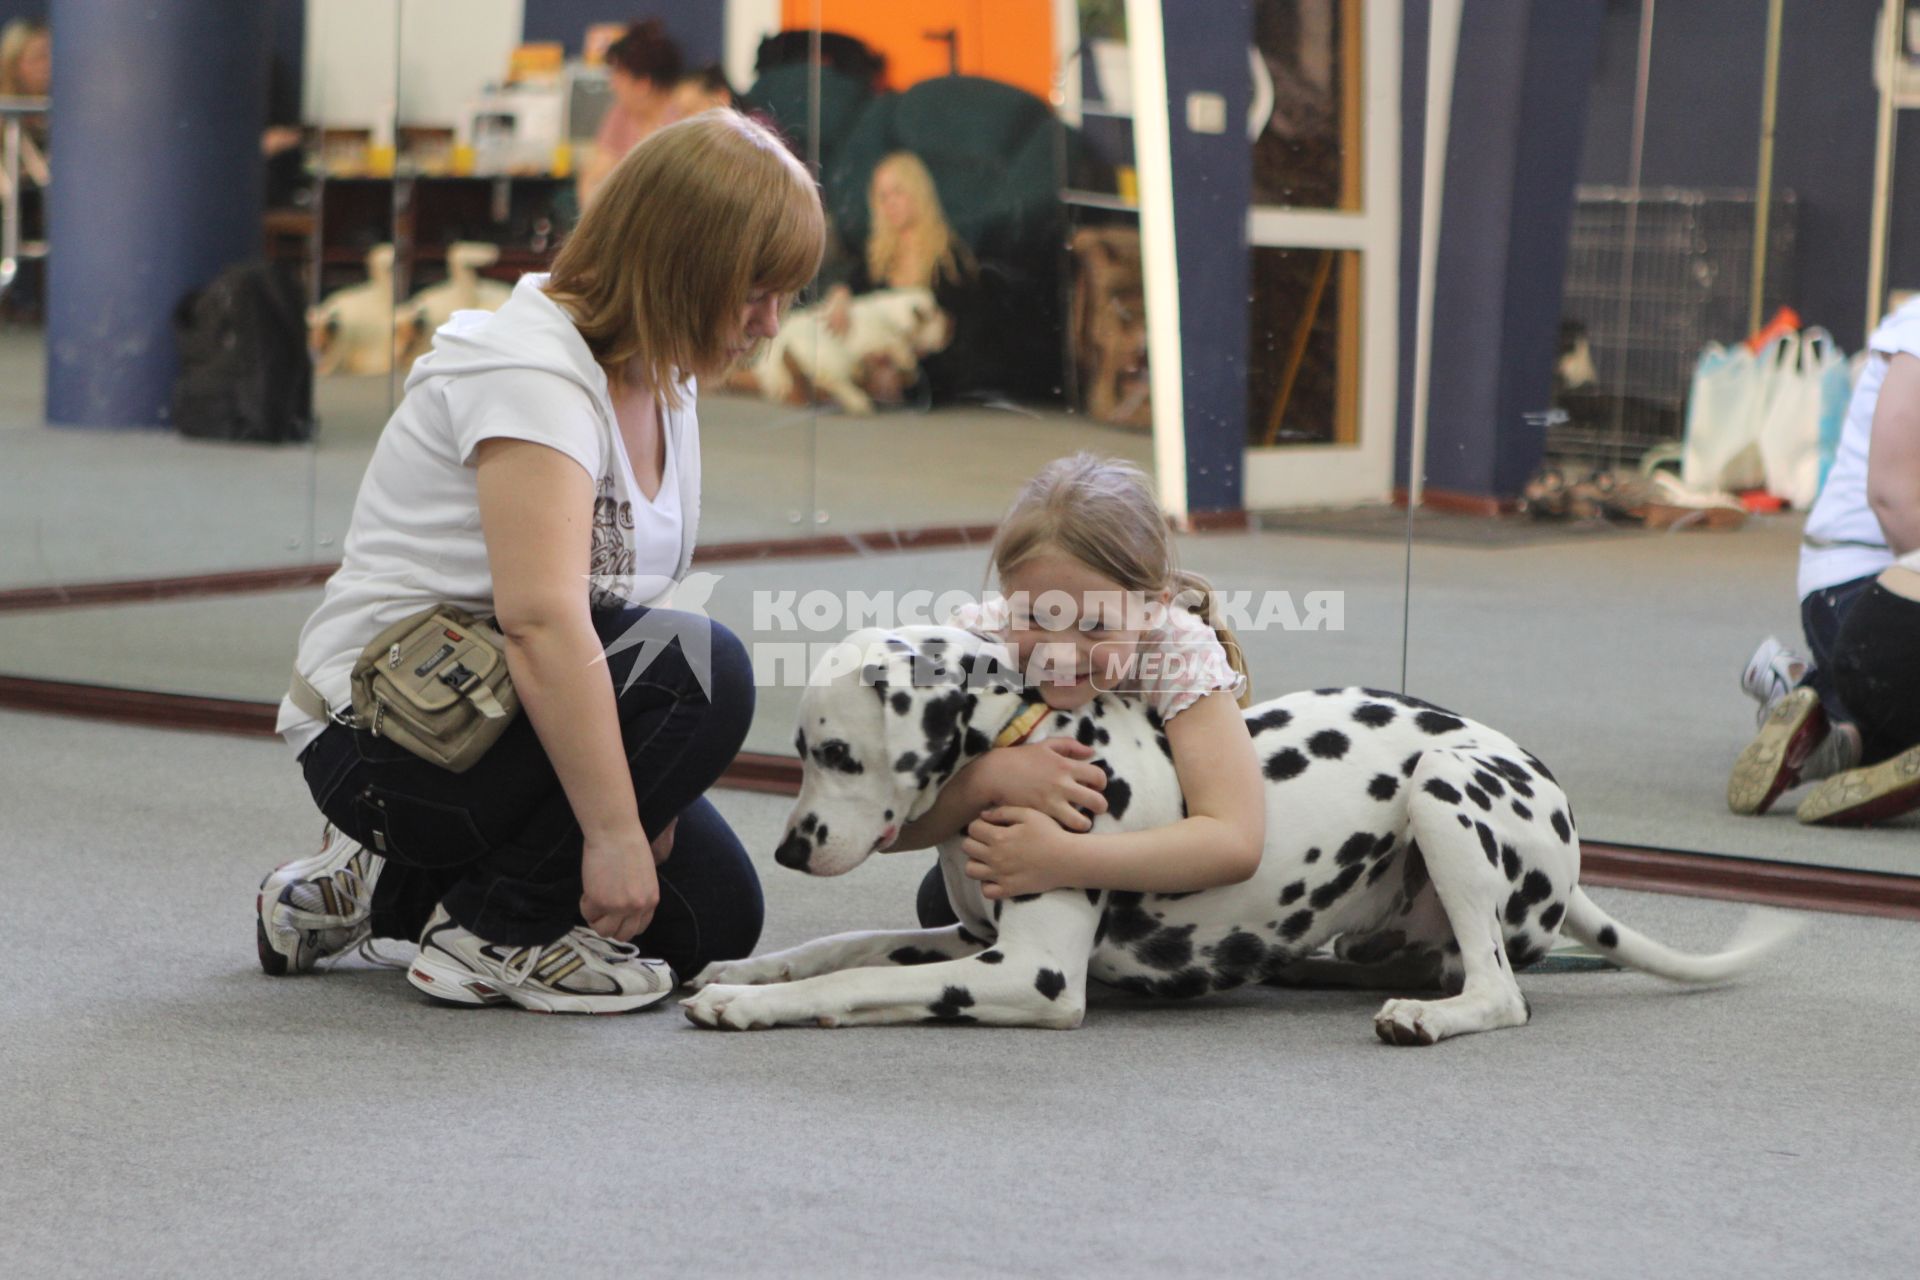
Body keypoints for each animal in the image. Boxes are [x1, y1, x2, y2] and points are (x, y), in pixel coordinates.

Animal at [687, 629, 1797, 1043]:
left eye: (837, 751)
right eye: (797, 750)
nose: (788, 849)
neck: (1033, 735)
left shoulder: (1030, 974)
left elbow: (855, 981)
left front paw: (749, 1004)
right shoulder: (968, 937)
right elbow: (847, 946)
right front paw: (749, 966)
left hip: (1444, 787)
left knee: (1496, 991)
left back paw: (1427, 1015)